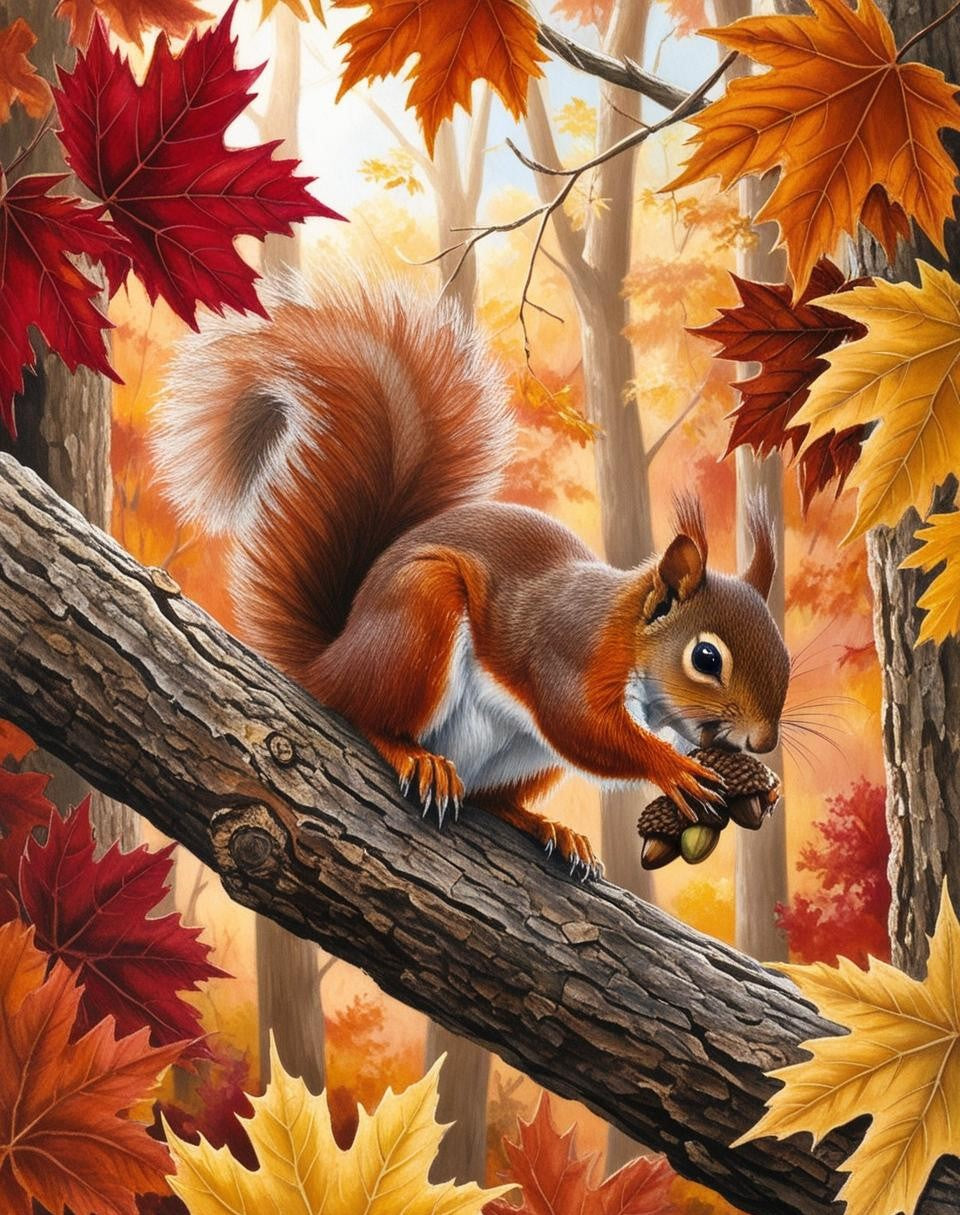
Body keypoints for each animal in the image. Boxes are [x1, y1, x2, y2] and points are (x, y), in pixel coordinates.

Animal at [152, 269, 790, 881]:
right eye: (705, 657)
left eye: (784, 656)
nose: (764, 741)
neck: (628, 633)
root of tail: (330, 661)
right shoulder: (571, 654)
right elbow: (582, 727)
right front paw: (672, 769)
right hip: (417, 622)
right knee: (365, 715)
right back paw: (415, 756)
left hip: (526, 758)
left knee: (491, 799)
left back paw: (549, 828)